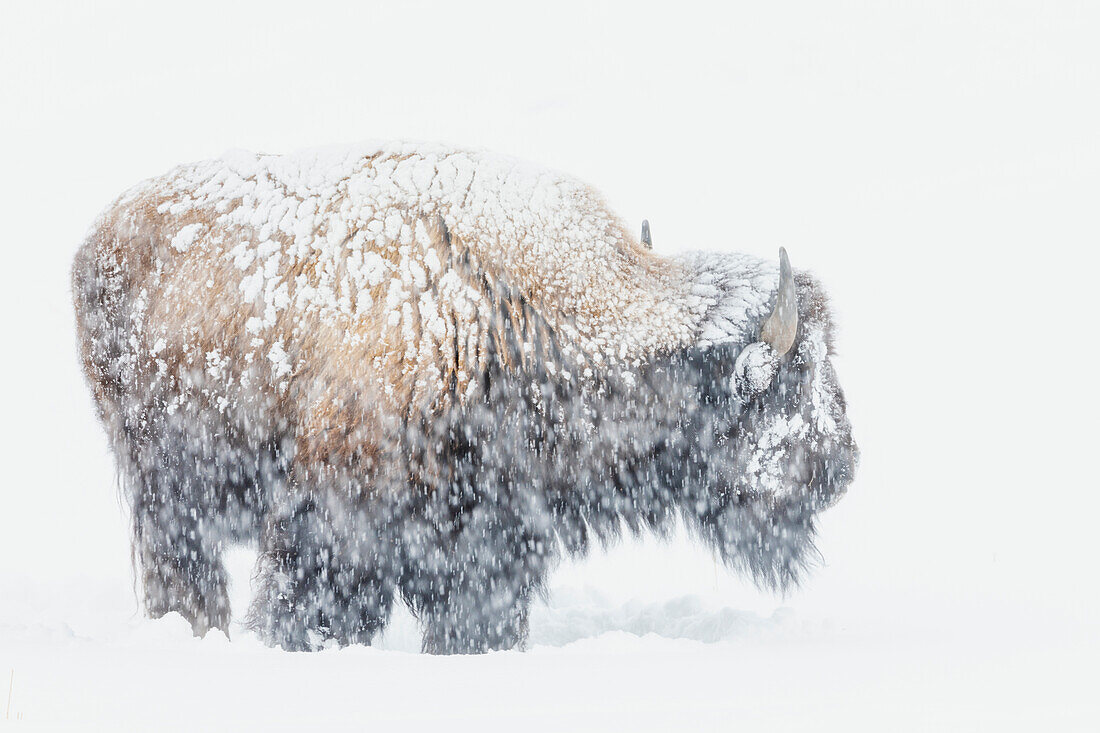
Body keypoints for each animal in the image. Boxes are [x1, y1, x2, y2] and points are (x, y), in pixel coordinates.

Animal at [73, 143, 858, 651]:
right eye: (794, 375)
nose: (843, 464)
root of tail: (103, 235)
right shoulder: (338, 524)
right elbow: (314, 606)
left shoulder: (490, 540)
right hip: (169, 495)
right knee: (187, 572)